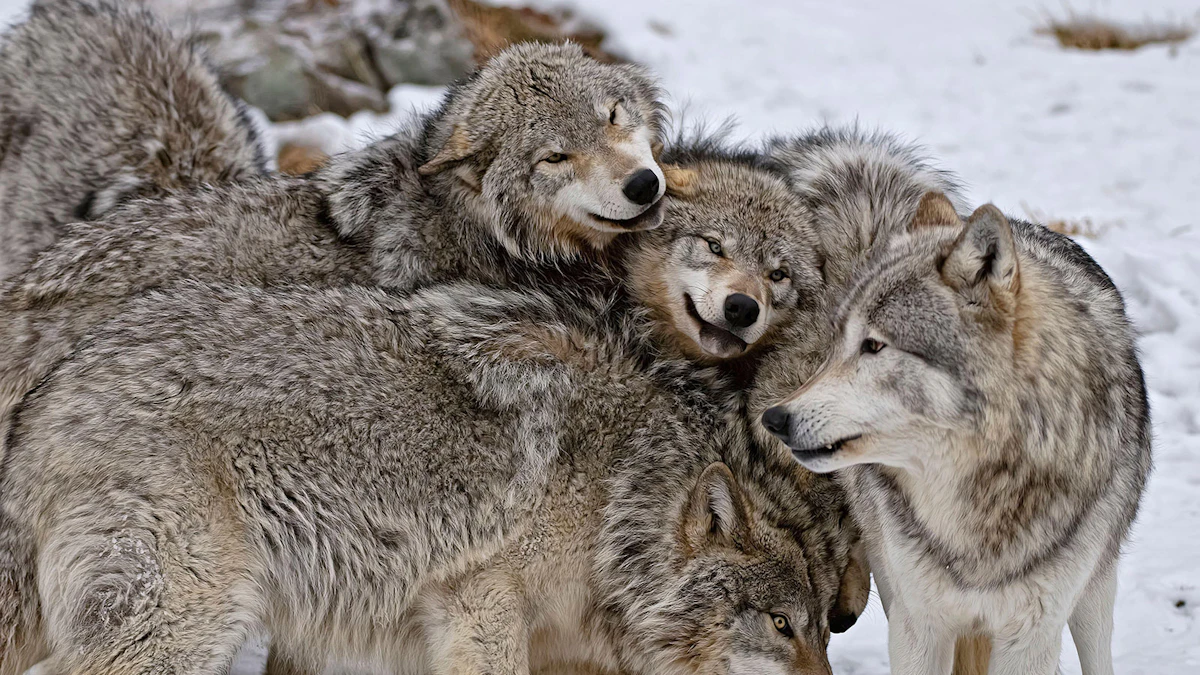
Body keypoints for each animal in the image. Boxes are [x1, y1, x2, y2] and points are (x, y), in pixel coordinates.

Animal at [0, 278, 863, 675]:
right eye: (781, 625)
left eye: (823, 630)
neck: (614, 495)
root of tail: (46, 397)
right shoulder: (479, 602)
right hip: (184, 626)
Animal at [759, 192, 1152, 674]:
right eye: (838, 344)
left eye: (874, 345)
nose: (774, 419)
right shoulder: (918, 626)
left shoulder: (1030, 636)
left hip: (1094, 592)